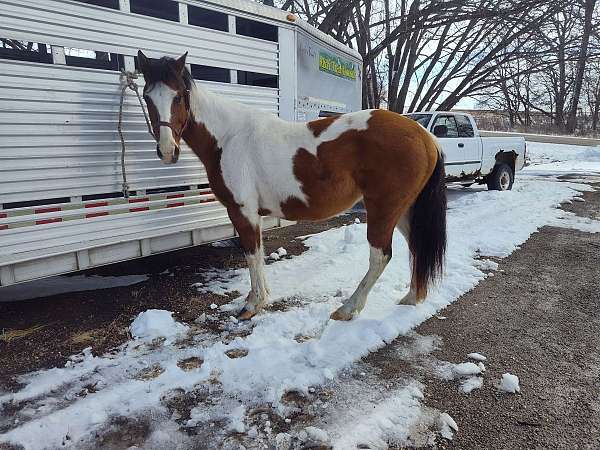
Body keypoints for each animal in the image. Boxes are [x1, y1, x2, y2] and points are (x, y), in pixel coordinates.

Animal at [137, 51, 446, 320]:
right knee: (415, 247)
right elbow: (259, 254)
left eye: (178, 96)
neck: (228, 137)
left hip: (383, 209)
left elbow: (251, 255)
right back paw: (411, 297)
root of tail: (424, 135)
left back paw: (348, 309)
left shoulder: (242, 211)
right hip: (403, 210)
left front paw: (252, 304)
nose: (167, 151)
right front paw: (261, 297)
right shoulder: (252, 215)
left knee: (380, 256)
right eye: (147, 96)